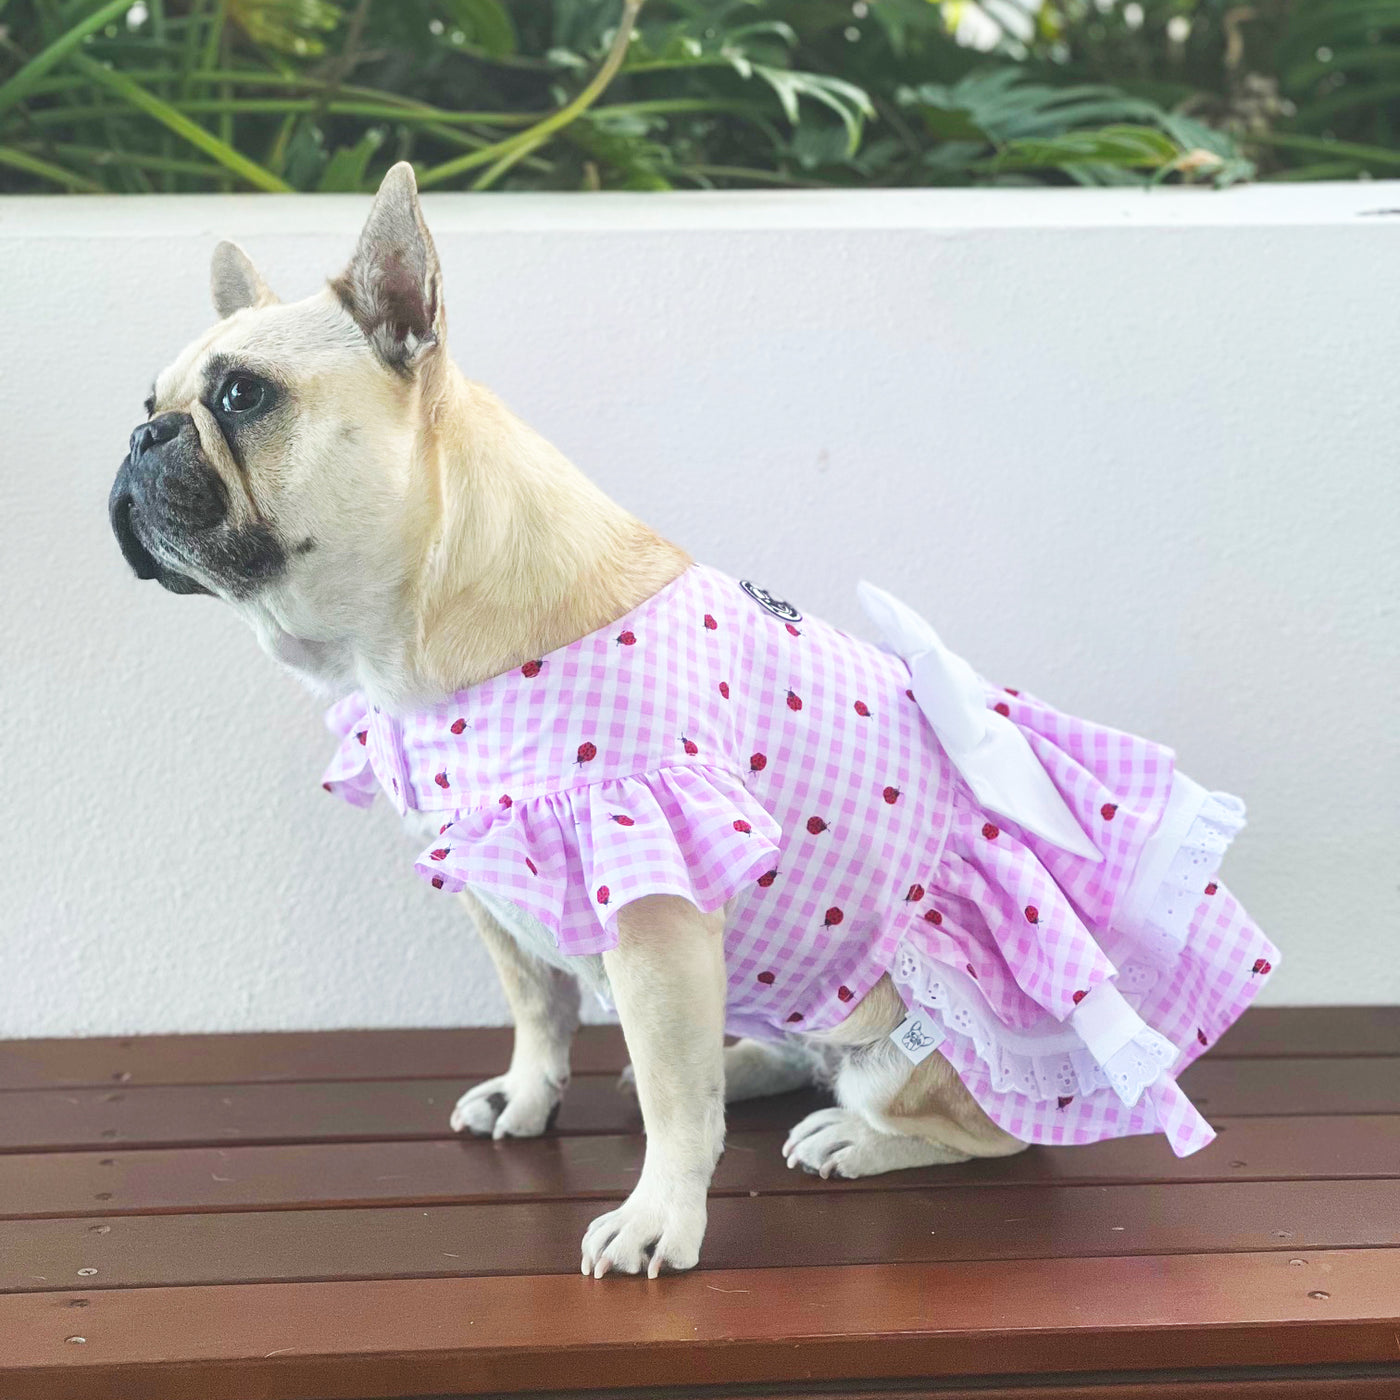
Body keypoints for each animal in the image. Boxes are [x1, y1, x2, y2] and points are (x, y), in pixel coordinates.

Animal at [109, 163, 1024, 1282]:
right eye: (147, 403)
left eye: (244, 396)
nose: (141, 438)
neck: (419, 628)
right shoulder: (492, 889)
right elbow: (539, 1012)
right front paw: (529, 1094)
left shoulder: (654, 919)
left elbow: (674, 1100)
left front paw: (658, 1216)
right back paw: (752, 1060)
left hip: (918, 1046)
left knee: (978, 1130)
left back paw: (854, 1135)